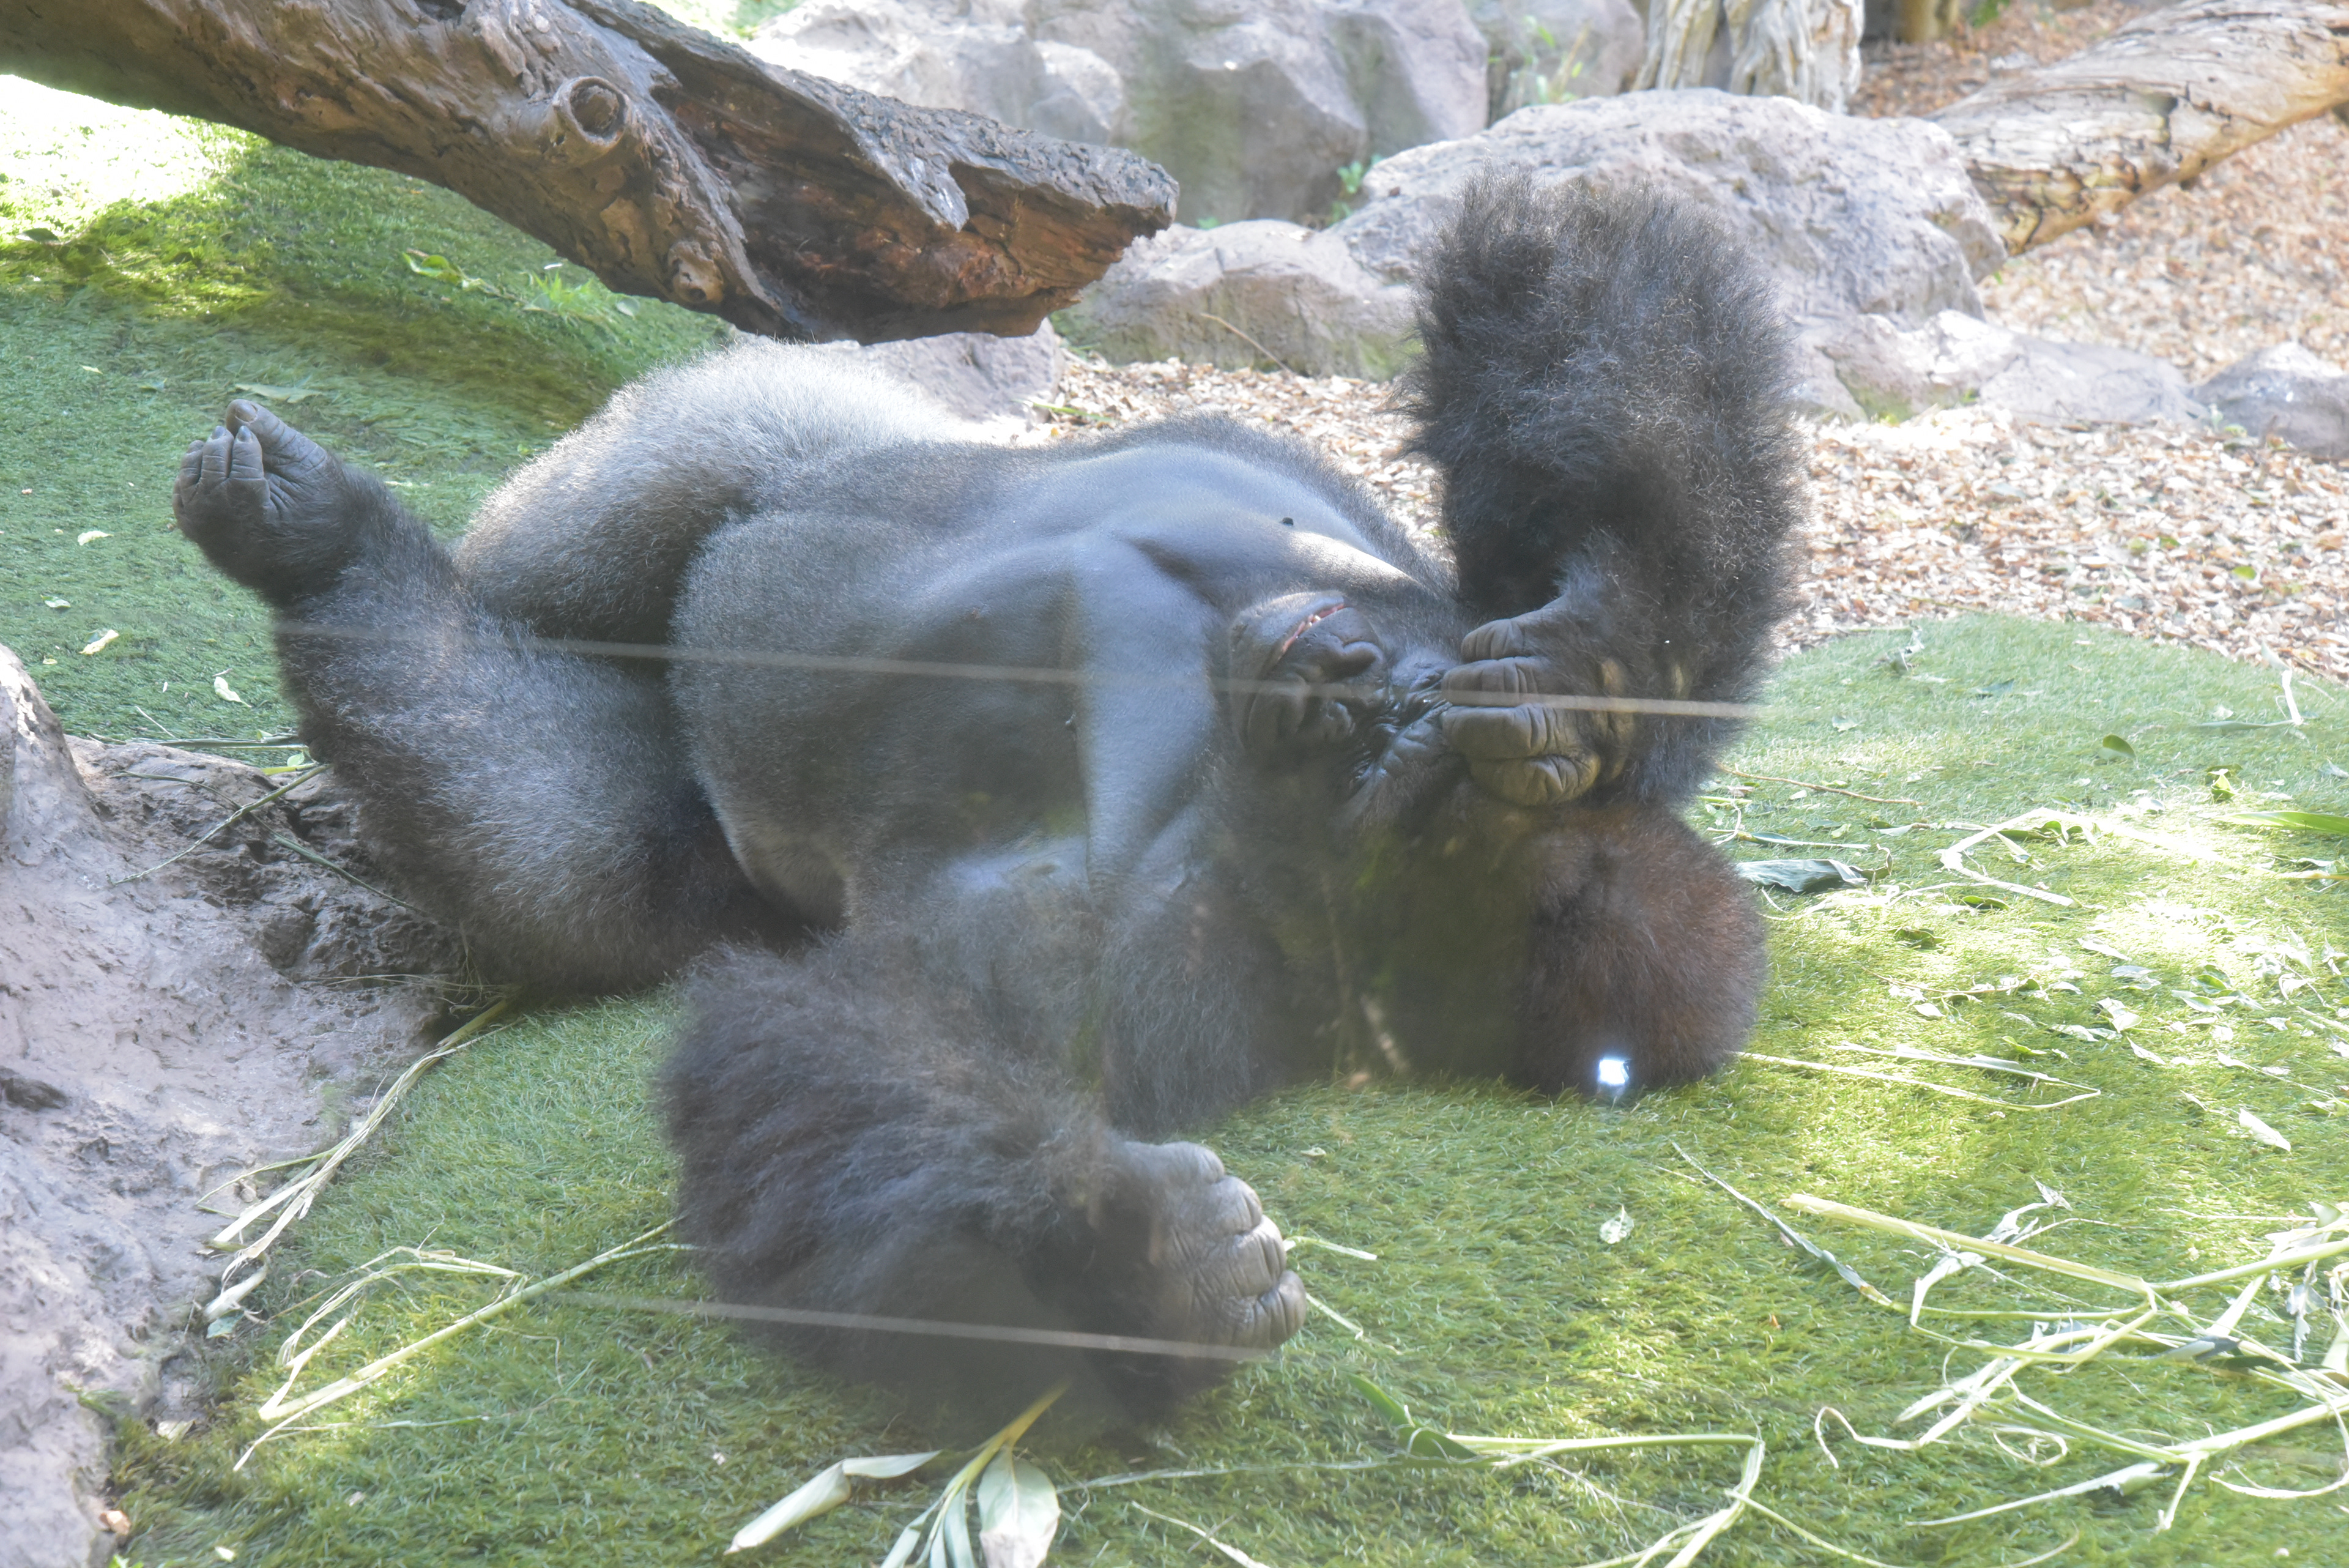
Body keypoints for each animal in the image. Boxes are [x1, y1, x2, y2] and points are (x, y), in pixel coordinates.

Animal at [172, 177, 1804, 1421]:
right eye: (1396, 740)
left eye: (1389, 801)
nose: (1356, 703)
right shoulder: (1410, 590)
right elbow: (1581, 357)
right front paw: (1606, 653)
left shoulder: (1151, 957)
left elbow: (847, 1047)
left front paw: (1121, 1275)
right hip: (834, 416)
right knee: (660, 502)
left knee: (561, 840)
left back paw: (335, 575)